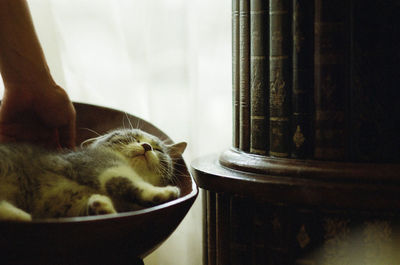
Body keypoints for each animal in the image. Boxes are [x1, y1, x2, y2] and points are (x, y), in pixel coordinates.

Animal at [0, 128, 186, 221]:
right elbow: (127, 182)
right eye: (131, 138)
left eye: (158, 149)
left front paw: (101, 206)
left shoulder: (70, 208)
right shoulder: (104, 166)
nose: (147, 146)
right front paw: (163, 192)